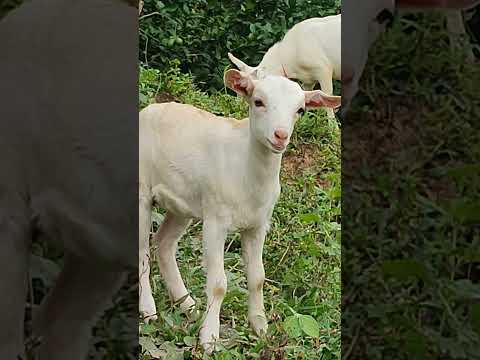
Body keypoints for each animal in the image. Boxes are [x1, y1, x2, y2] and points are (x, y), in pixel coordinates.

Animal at [139, 68, 342, 352]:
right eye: (258, 101)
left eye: (300, 109)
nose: (280, 135)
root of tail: (149, 110)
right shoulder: (216, 220)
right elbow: (218, 285)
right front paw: (209, 339)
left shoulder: (258, 224)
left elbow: (257, 277)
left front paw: (260, 328)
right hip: (141, 191)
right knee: (142, 252)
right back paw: (149, 311)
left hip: (183, 204)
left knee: (164, 243)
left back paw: (187, 305)